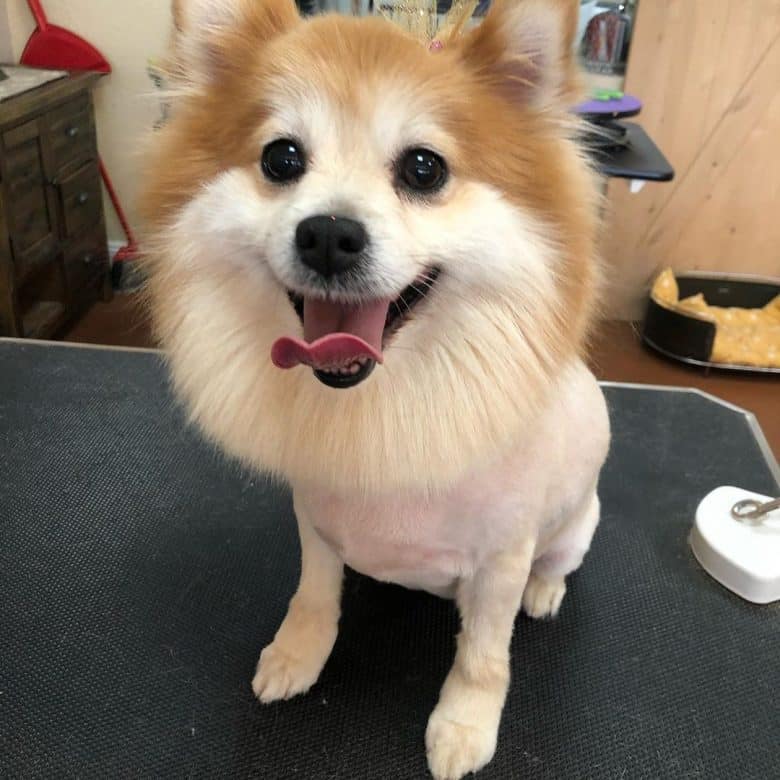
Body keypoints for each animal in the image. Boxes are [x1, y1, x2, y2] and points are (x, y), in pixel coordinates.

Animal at [140, 3, 608, 776]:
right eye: (281, 159)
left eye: (424, 168)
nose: (329, 234)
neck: (377, 400)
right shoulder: (315, 521)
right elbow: (313, 595)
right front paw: (298, 653)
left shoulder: (501, 560)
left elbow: (483, 653)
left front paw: (464, 724)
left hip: (575, 527)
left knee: (558, 565)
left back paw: (545, 592)